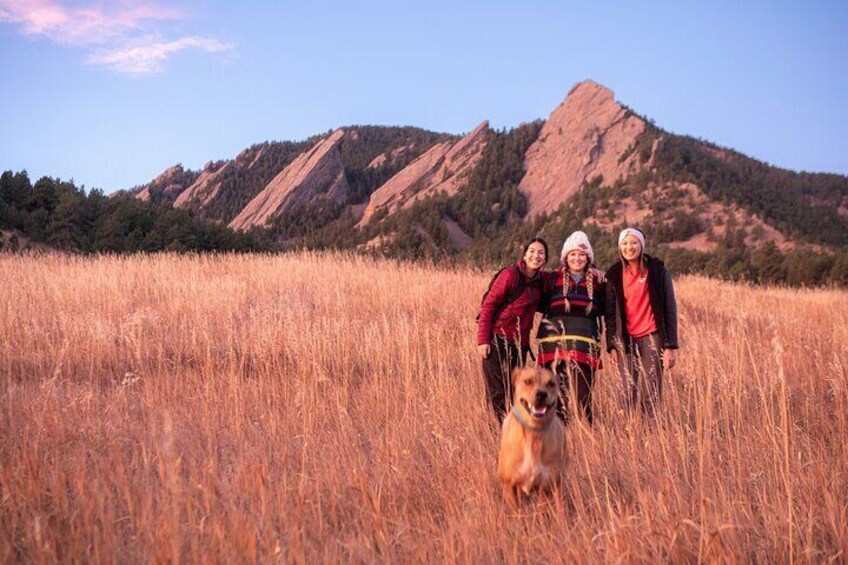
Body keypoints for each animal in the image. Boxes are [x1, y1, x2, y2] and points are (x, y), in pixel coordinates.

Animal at [494, 366, 568, 506]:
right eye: (527, 381)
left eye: (551, 383)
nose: (541, 394)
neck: (533, 433)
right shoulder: (509, 485)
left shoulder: (545, 486)